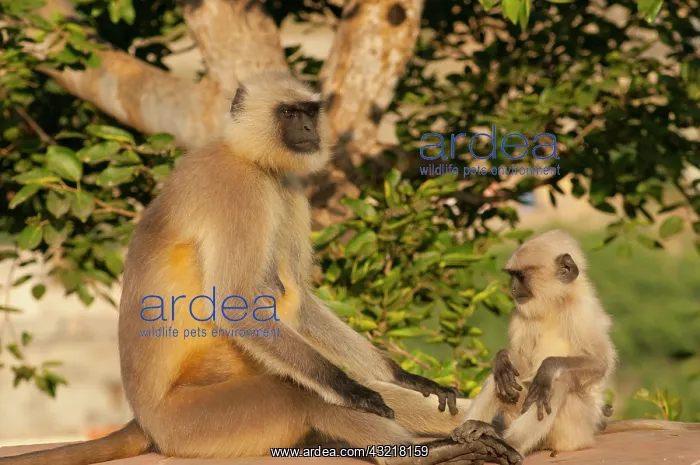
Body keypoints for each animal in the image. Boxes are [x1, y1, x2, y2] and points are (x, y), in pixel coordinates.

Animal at [0, 70, 522, 465]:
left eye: (309, 112)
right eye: (289, 114)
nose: (309, 130)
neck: (247, 156)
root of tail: (145, 419)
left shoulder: (286, 185)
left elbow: (303, 299)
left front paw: (407, 378)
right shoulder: (238, 189)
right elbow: (238, 303)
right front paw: (351, 390)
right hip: (194, 423)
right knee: (299, 393)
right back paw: (429, 452)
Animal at [449, 229, 700, 458]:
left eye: (520, 277)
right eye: (512, 276)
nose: (512, 289)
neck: (555, 304)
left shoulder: (582, 311)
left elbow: (599, 363)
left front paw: (548, 368)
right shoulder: (520, 313)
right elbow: (519, 359)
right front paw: (502, 357)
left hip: (574, 429)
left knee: (561, 380)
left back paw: (506, 442)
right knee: (505, 376)